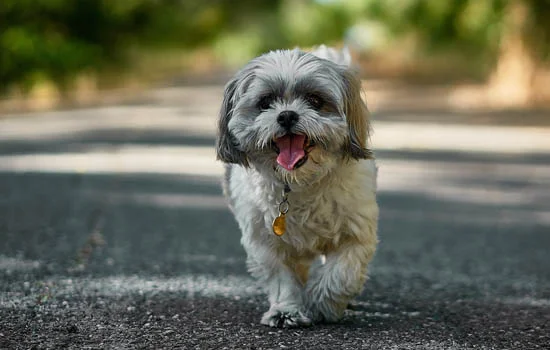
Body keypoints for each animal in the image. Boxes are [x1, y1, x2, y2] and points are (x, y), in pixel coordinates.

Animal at [217, 46, 380, 328]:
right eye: (265, 102)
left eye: (315, 100)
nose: (287, 115)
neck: (299, 184)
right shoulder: (265, 242)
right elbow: (282, 278)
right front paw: (286, 311)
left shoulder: (355, 233)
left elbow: (342, 273)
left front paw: (323, 304)